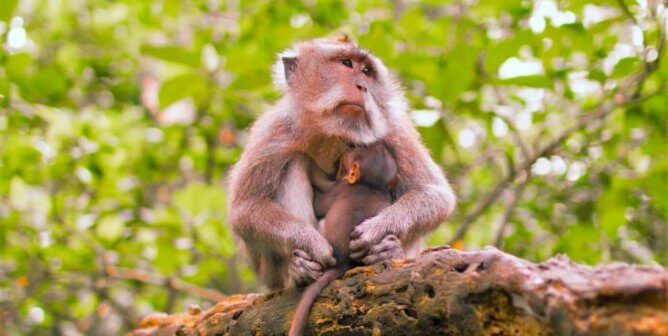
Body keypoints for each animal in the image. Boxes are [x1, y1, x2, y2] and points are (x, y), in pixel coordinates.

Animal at [290, 141, 400, 336]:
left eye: (357, 150)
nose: (348, 148)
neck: (371, 185)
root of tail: (342, 263)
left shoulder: (341, 189)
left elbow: (319, 203)